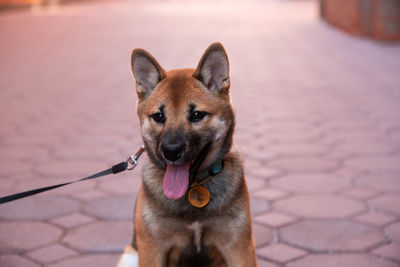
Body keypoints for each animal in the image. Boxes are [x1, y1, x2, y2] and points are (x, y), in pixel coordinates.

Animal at [117, 43, 258, 266]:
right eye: (159, 116)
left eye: (197, 115)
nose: (171, 151)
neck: (194, 187)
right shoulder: (152, 249)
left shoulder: (239, 247)